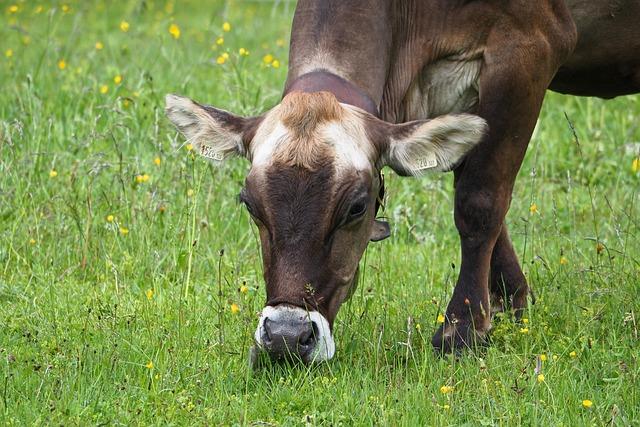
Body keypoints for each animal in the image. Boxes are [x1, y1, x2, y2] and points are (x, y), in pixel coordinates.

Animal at [166, 0, 640, 364]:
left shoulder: (530, 46)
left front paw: (462, 329)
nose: (285, 337)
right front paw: (511, 305)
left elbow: (481, 198)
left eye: (357, 207)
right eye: (250, 204)